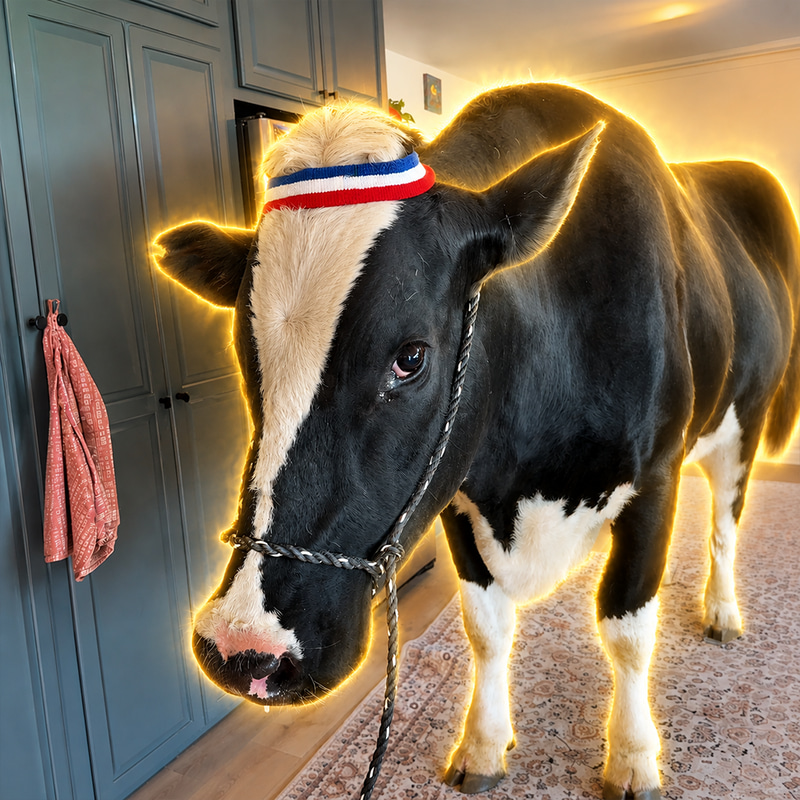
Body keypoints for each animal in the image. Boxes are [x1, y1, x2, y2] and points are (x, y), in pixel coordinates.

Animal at [154, 83, 800, 800]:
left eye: (411, 357)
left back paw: (721, 610)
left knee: (725, 521)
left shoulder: (654, 478)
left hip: (746, 416)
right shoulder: (457, 494)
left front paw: (633, 758)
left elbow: (627, 627)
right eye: (246, 350)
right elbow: (485, 626)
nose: (242, 646)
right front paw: (484, 744)